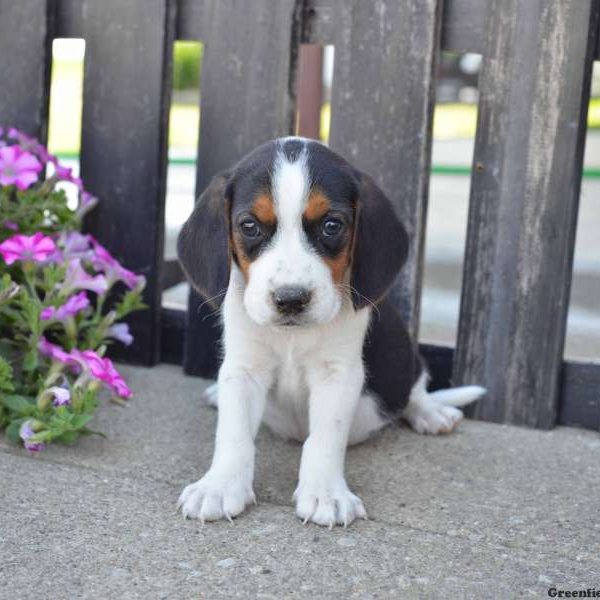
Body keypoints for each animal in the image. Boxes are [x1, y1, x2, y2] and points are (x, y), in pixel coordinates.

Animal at [175, 138, 482, 528]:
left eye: (332, 225)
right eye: (249, 225)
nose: (291, 299)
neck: (292, 337)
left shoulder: (338, 374)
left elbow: (324, 438)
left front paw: (325, 494)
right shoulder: (243, 369)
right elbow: (234, 434)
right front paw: (218, 486)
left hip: (404, 353)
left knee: (414, 389)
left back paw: (431, 413)